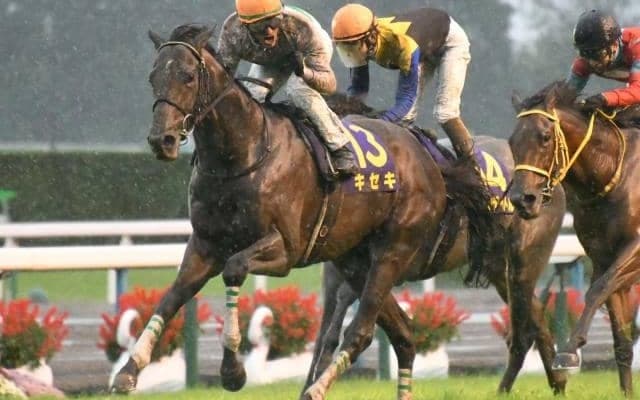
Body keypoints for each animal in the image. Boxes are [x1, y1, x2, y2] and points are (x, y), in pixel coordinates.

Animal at [305, 94, 569, 396]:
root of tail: (552, 183)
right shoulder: (339, 272)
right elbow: (327, 331)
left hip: (525, 260)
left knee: (526, 325)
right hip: (499, 269)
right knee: (535, 317)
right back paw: (553, 384)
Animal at [509, 80, 640, 396]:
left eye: (545, 137)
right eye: (511, 141)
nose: (522, 199)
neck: (612, 172)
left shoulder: (635, 248)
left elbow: (597, 289)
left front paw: (568, 352)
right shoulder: (602, 256)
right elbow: (621, 340)